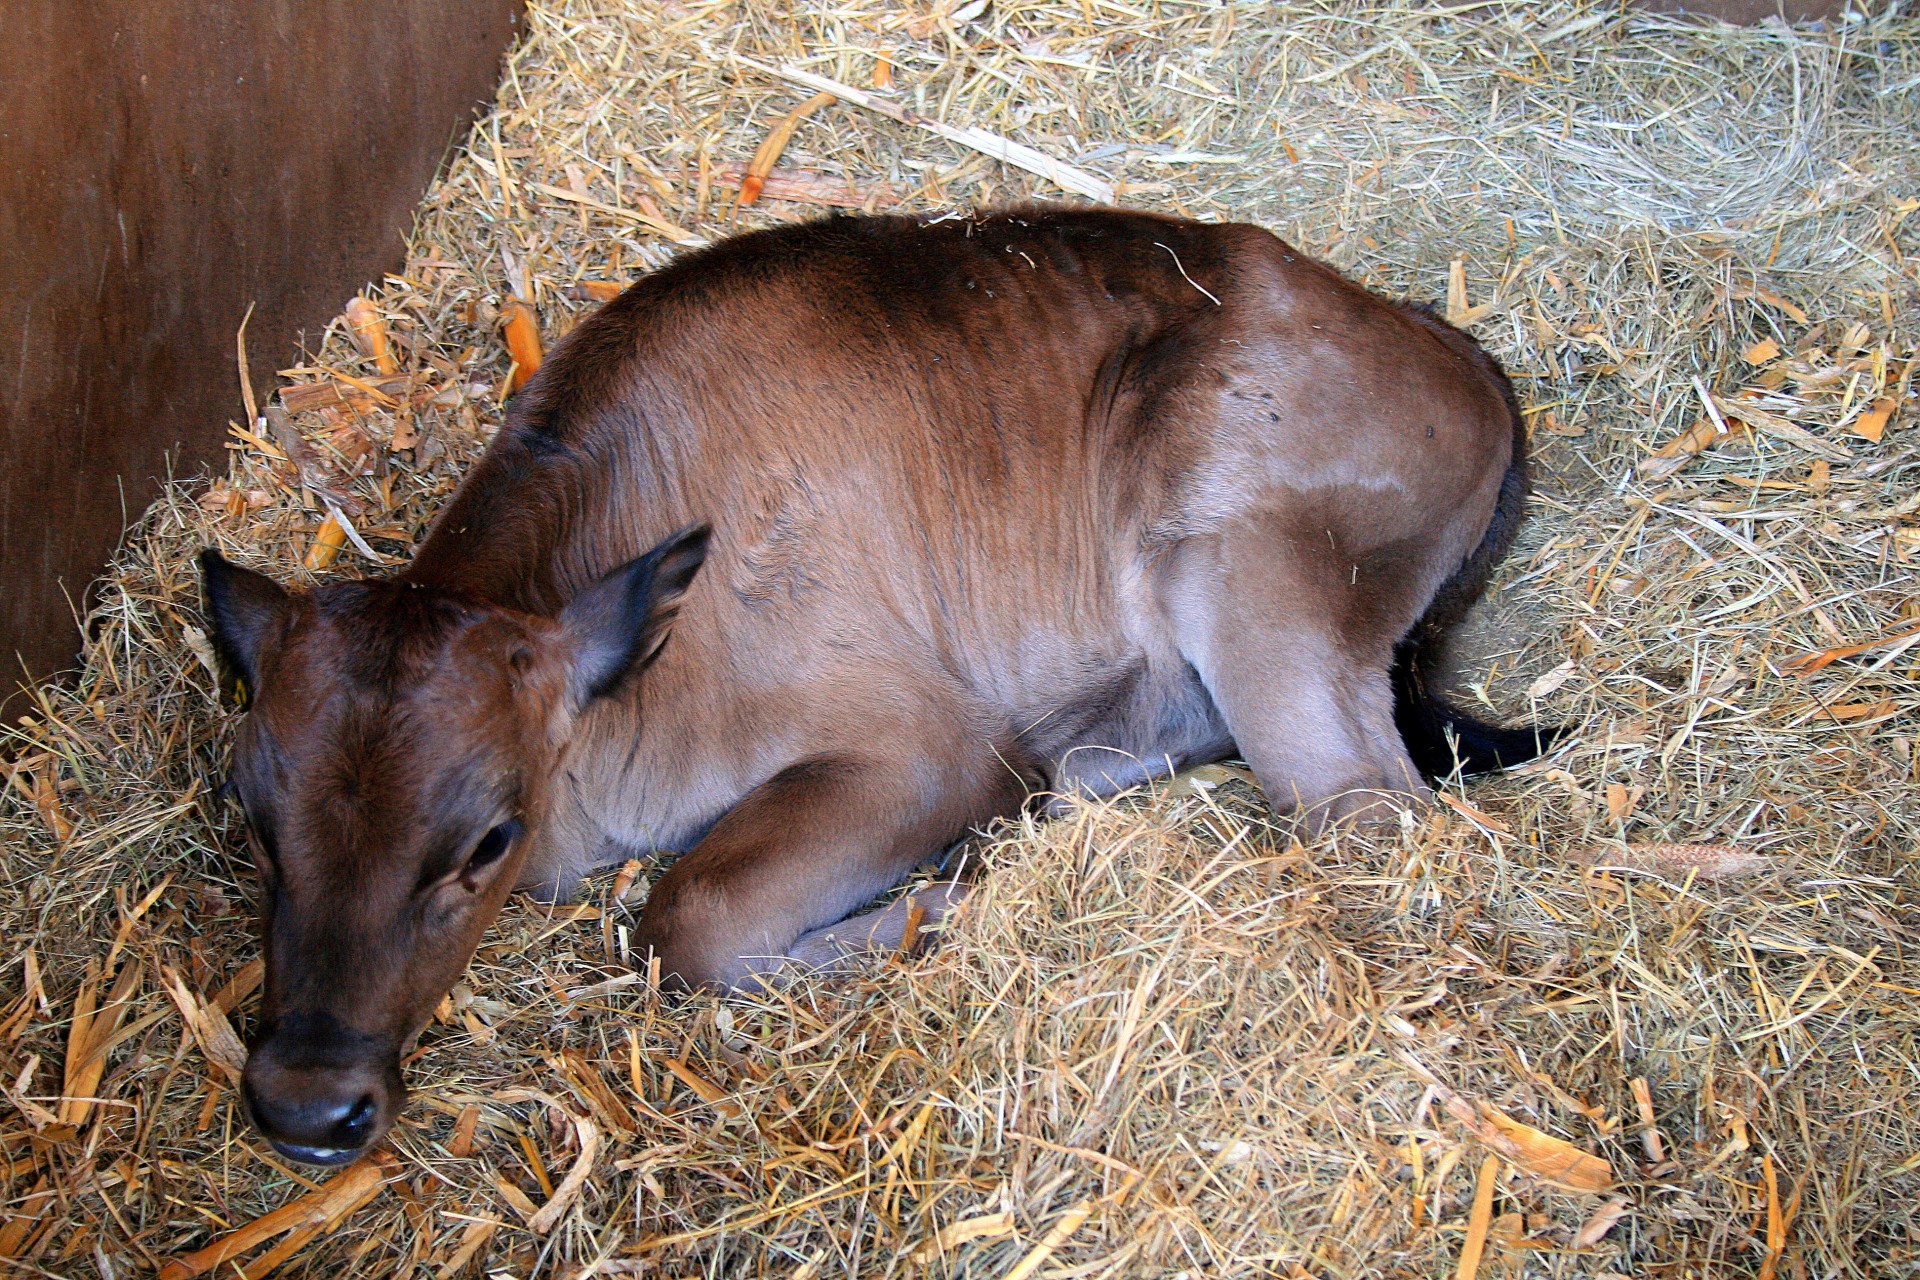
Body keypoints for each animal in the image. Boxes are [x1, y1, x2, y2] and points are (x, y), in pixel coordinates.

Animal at [202, 205, 1551, 1166]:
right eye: (254, 816)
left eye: (488, 835)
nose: (307, 1104)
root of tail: (1444, 342)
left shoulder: (931, 745)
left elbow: (689, 917)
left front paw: (937, 903)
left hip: (1254, 588)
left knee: (1373, 818)